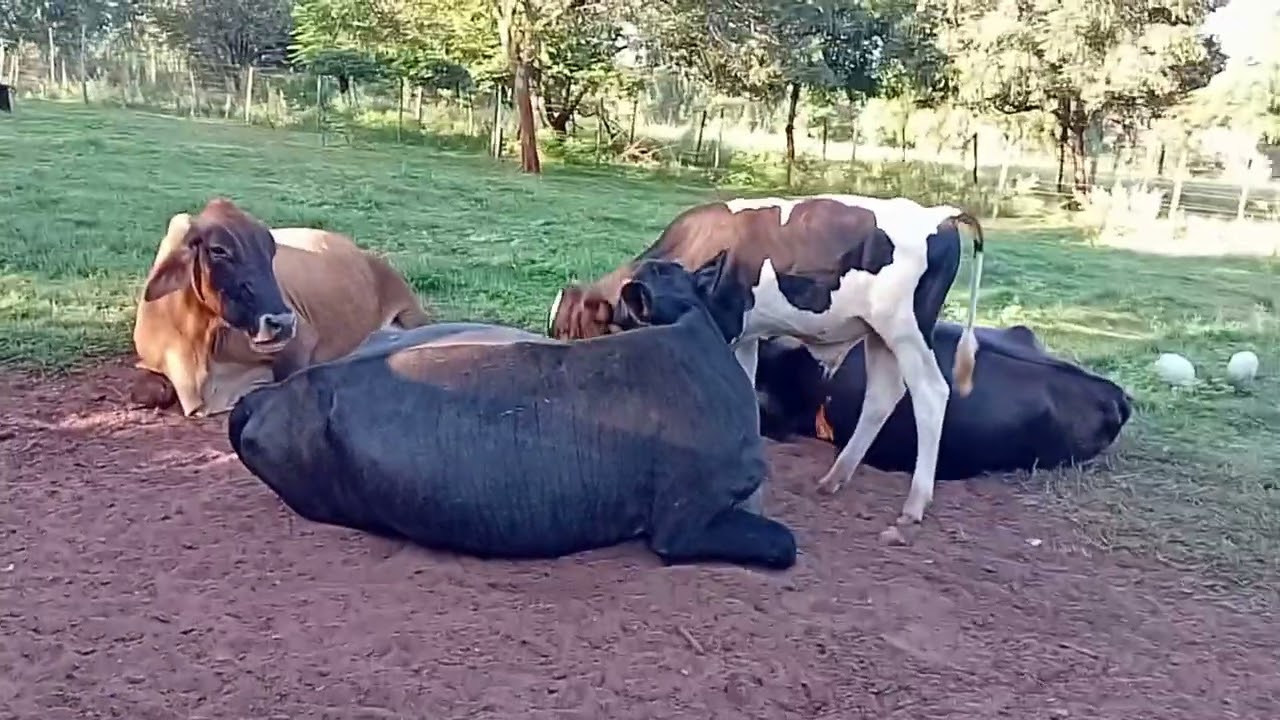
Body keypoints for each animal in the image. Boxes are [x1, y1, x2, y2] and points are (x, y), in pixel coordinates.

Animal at [547, 194, 985, 525]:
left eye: (572, 331)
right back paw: (835, 477)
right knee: (882, 395)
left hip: (908, 331)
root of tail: (938, 215)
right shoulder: (745, 335)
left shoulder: (725, 325)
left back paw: (915, 503)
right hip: (880, 335)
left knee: (930, 394)